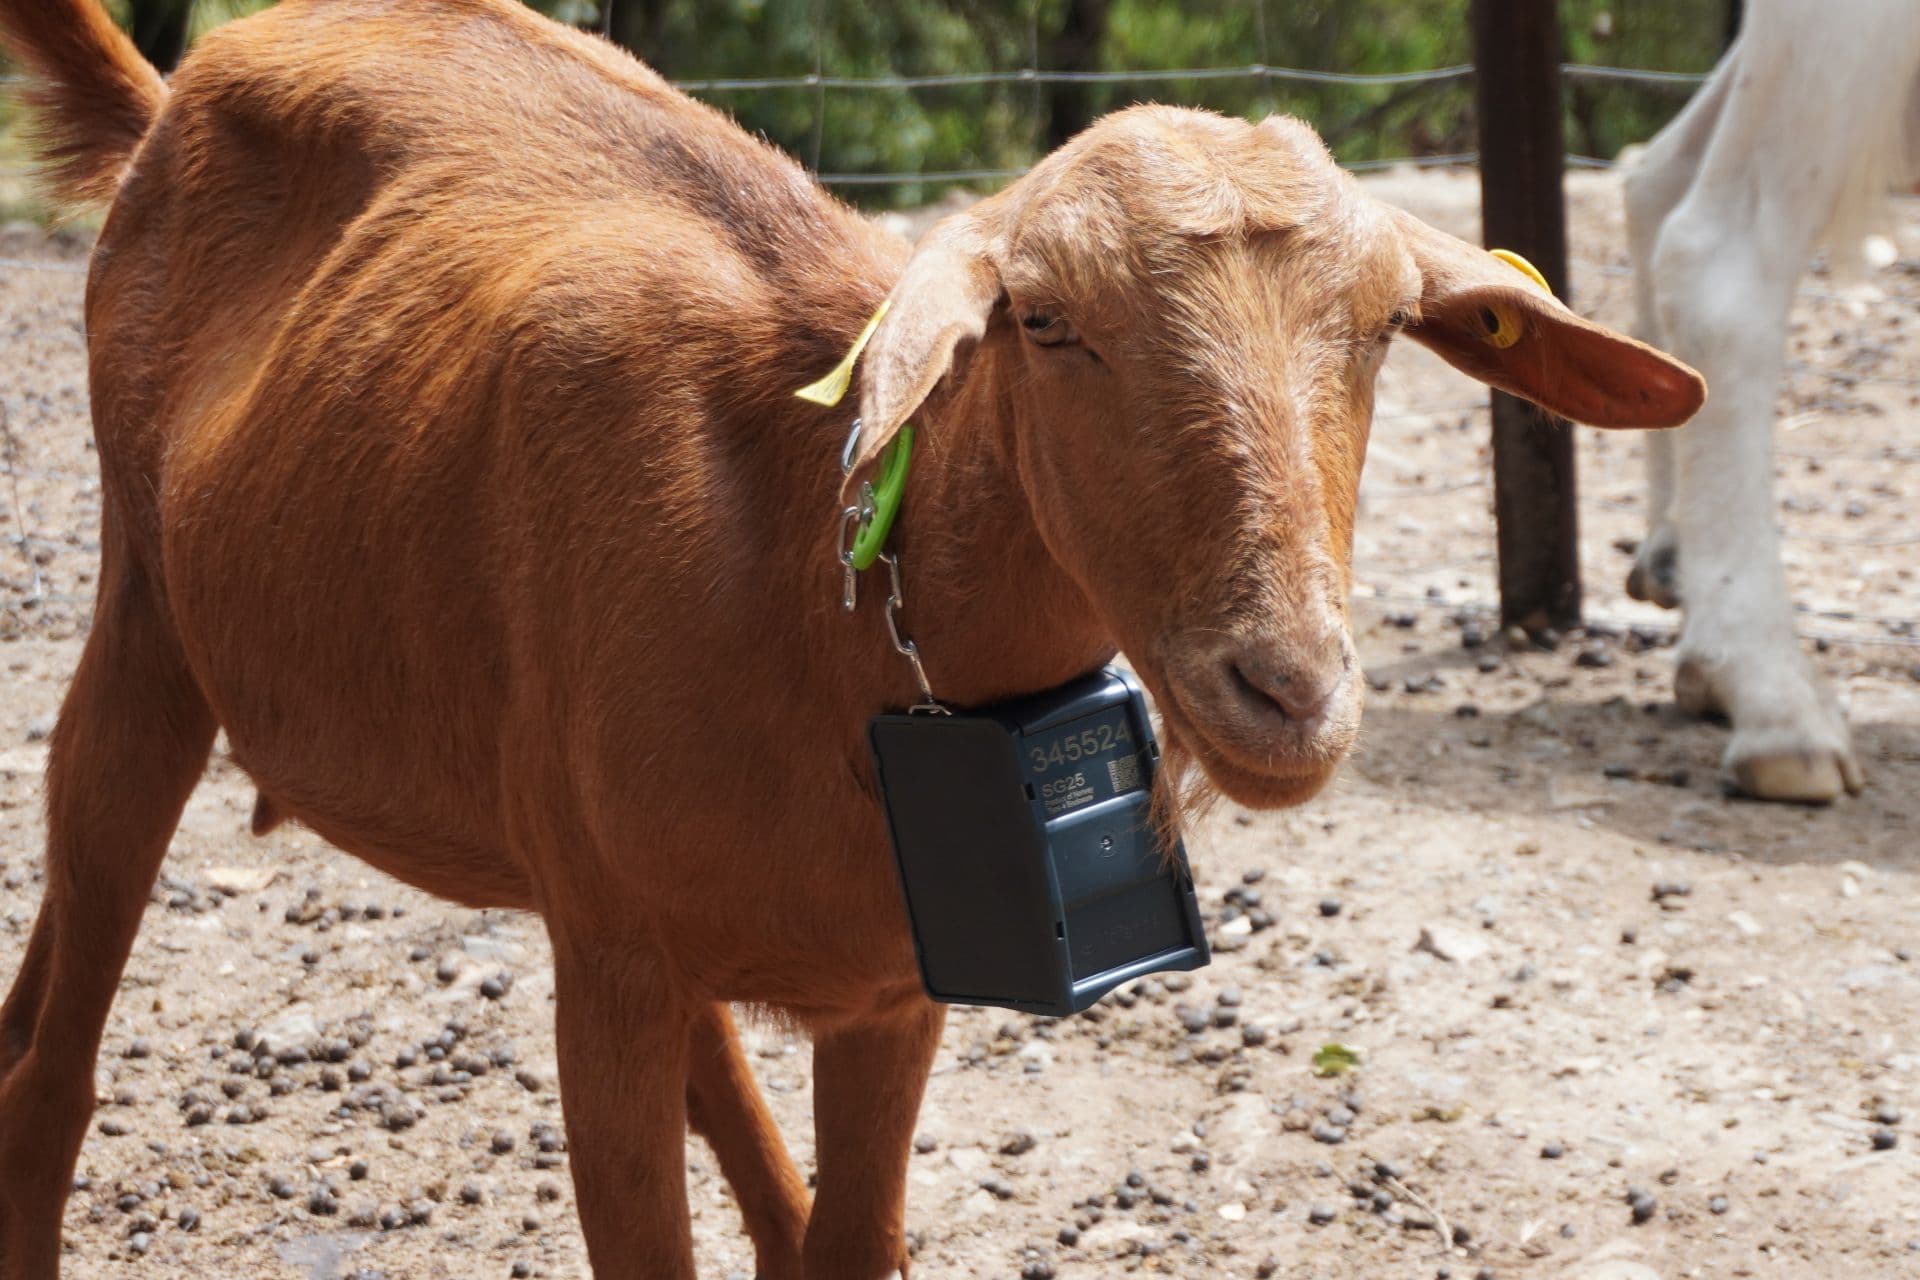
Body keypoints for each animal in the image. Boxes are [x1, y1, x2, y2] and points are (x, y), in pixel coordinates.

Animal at [0, 1, 1704, 1275]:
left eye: (1383, 327)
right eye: (1045, 320)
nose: (1286, 690)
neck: (809, 589)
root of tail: (175, 91)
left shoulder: (893, 986)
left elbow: (841, 1238)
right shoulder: (610, 980)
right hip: (147, 616)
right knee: (54, 1053)